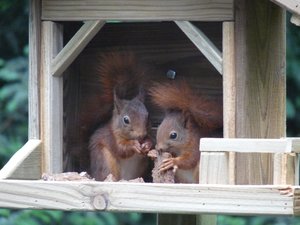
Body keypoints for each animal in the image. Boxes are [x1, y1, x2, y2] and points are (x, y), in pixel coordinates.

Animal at [88, 52, 152, 181]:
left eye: (148, 116)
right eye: (126, 120)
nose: (141, 135)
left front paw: (147, 144)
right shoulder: (112, 138)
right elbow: (121, 149)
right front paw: (133, 145)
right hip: (106, 162)